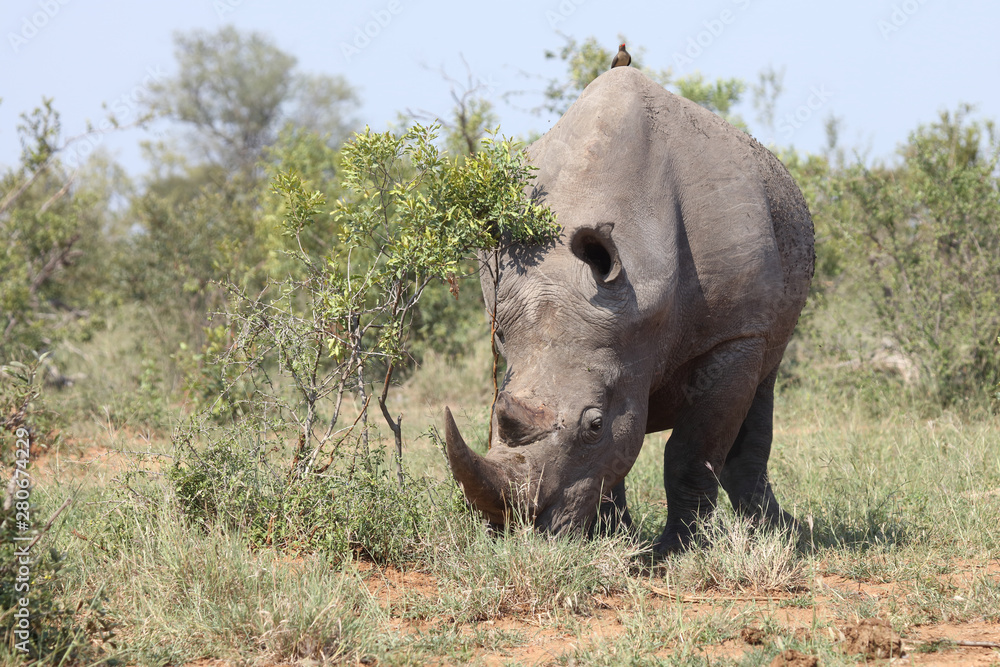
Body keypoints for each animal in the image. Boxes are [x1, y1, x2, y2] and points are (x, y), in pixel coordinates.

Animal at [444, 66, 814, 553]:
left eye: (594, 425)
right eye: (497, 414)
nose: (515, 533)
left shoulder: (735, 334)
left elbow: (690, 452)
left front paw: (675, 551)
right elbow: (616, 453)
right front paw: (610, 540)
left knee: (763, 383)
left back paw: (779, 533)